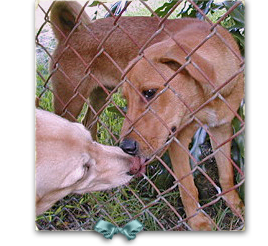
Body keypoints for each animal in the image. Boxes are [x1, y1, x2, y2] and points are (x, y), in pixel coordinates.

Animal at [120, 21, 245, 231]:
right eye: (126, 100)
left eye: (150, 92)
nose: (125, 147)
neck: (206, 99)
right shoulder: (178, 140)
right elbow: (187, 187)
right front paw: (197, 221)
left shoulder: (221, 129)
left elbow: (226, 174)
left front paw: (235, 204)